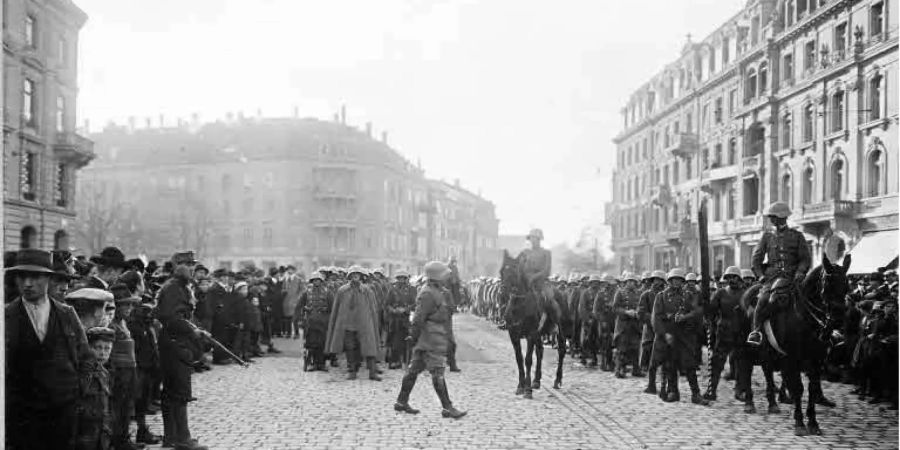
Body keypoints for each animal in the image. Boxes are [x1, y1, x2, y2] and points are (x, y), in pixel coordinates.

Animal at [496, 250, 568, 398]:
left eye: (515, 272)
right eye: (501, 271)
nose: (501, 293)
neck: (519, 305)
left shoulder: (531, 334)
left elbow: (528, 359)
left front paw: (527, 390)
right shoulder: (514, 334)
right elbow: (519, 359)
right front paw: (521, 386)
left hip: (560, 330)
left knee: (561, 349)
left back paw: (557, 380)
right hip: (539, 334)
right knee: (540, 351)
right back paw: (536, 381)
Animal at [740, 255, 856, 434]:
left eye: (846, 286)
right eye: (827, 285)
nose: (837, 320)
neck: (806, 319)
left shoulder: (816, 361)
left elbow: (812, 388)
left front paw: (813, 423)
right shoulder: (792, 359)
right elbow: (798, 388)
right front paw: (800, 423)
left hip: (768, 350)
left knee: (767, 370)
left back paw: (772, 404)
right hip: (747, 348)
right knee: (747, 369)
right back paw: (749, 403)